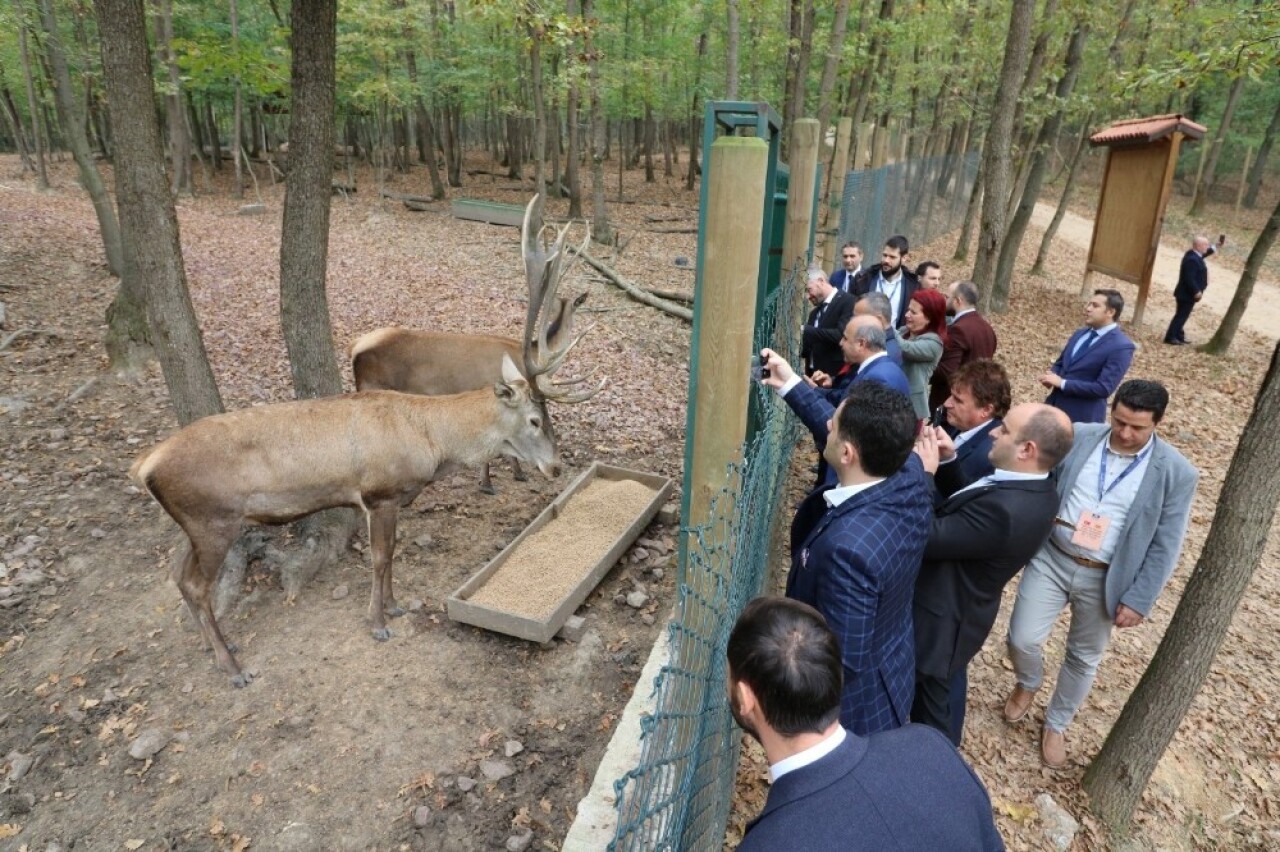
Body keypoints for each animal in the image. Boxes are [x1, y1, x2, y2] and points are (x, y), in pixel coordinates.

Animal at [348, 194, 601, 491]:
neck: (529, 354)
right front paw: (494, 480)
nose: (555, 467)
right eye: (536, 419)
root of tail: (354, 347)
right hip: (373, 388)